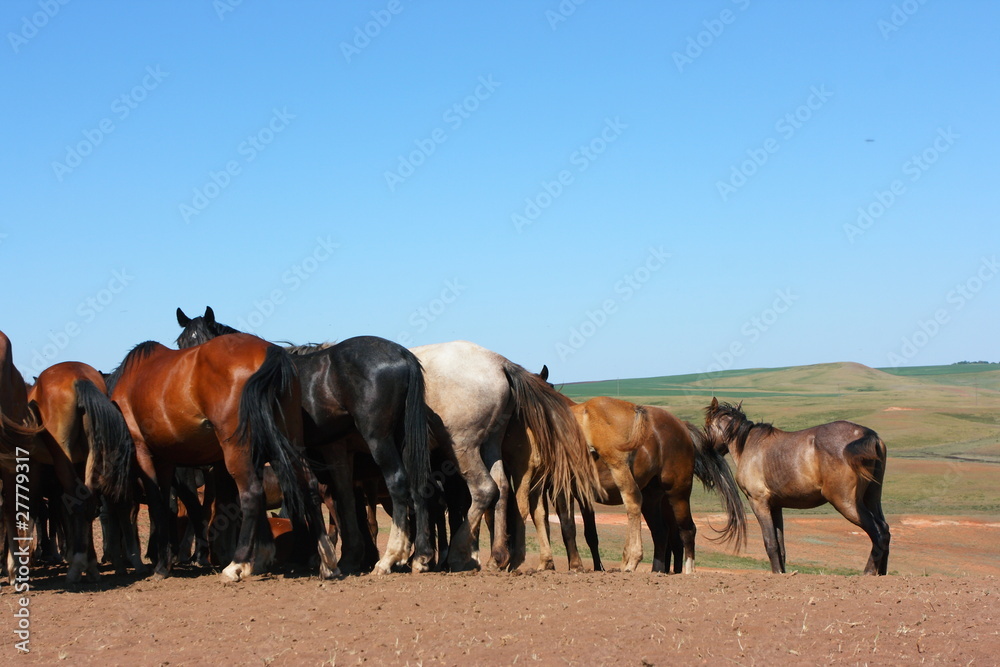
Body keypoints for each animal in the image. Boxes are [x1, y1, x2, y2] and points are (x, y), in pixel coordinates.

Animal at [26, 361, 137, 582]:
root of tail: (78, 377)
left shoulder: (34, 465)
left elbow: (33, 507)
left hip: (63, 455)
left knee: (76, 505)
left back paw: (76, 566)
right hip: (89, 457)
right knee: (87, 504)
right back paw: (91, 565)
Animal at [106, 333, 338, 581]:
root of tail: (271, 351)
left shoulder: (143, 452)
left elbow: (158, 506)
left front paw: (161, 566)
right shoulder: (166, 460)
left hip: (236, 448)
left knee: (251, 493)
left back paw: (235, 564)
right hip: (288, 437)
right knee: (308, 484)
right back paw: (327, 560)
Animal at [176, 307, 433, 575]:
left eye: (203, 348)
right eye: (181, 343)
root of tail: (402, 354)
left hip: (378, 440)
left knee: (398, 483)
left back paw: (389, 558)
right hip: (404, 440)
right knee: (417, 485)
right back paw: (420, 556)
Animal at [703, 397, 889, 575]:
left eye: (706, 427)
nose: (707, 452)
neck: (748, 446)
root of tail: (869, 435)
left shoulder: (759, 502)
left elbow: (770, 543)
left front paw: (777, 572)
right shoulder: (776, 506)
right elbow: (780, 547)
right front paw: (781, 572)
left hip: (846, 503)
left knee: (878, 533)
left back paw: (868, 572)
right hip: (872, 498)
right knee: (885, 531)